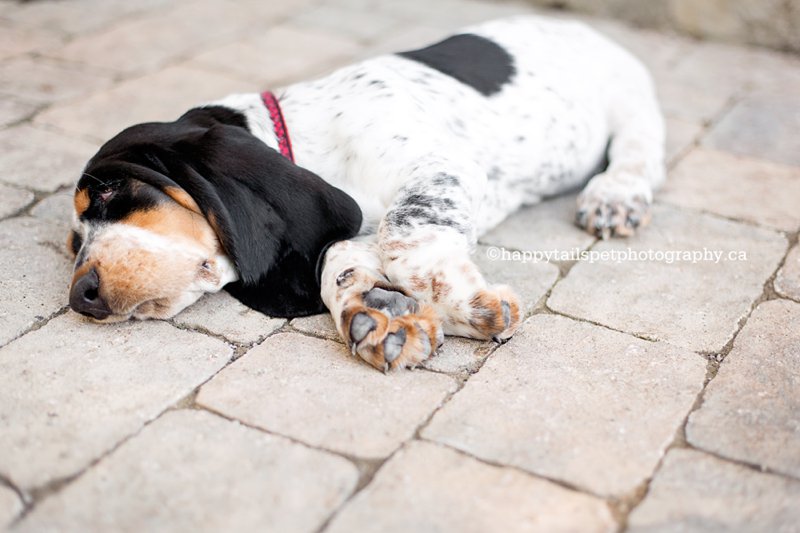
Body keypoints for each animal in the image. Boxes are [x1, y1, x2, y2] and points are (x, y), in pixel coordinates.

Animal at [67, 14, 664, 368]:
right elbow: (340, 253)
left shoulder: (441, 169)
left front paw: (463, 305)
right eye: (74, 242)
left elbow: (404, 234)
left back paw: (615, 196)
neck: (303, 131)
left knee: (637, 150)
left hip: (631, 100)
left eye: (112, 193)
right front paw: (378, 311)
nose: (79, 297)